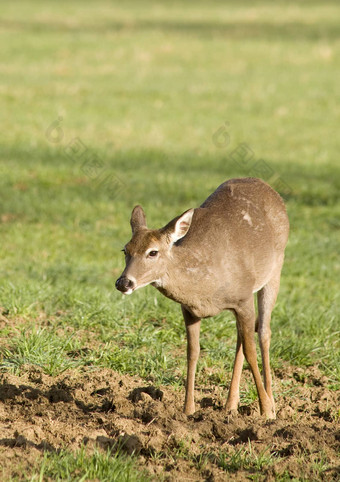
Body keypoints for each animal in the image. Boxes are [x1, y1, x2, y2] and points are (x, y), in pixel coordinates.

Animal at [115, 177, 288, 418]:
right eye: (125, 250)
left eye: (153, 252)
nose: (124, 282)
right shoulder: (188, 309)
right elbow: (193, 352)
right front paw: (188, 410)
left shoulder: (243, 298)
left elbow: (251, 351)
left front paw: (266, 411)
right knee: (242, 337)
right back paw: (230, 405)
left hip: (275, 269)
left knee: (263, 331)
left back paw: (270, 403)